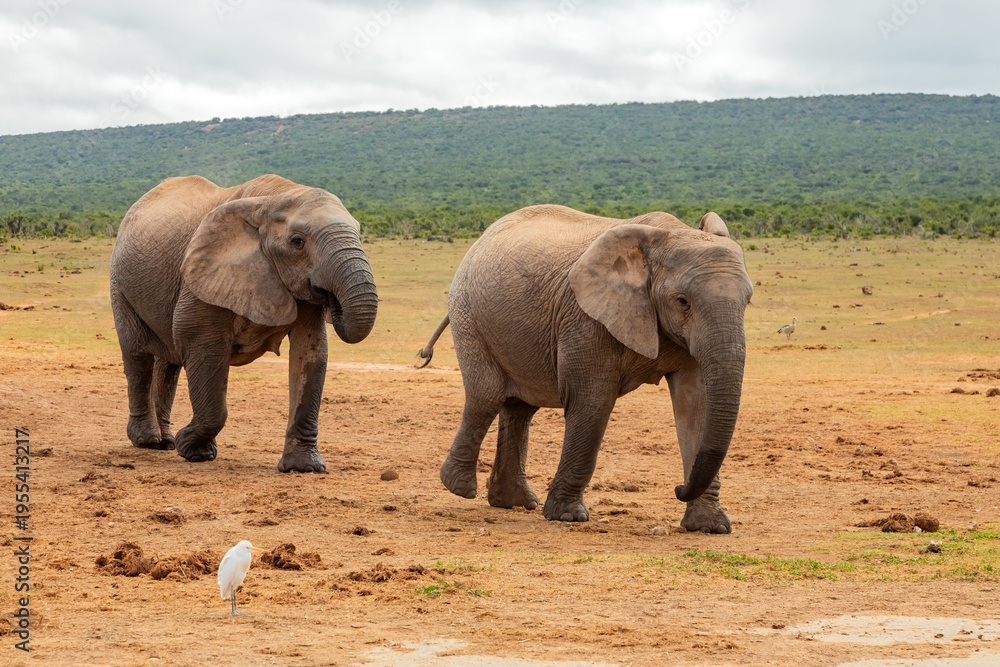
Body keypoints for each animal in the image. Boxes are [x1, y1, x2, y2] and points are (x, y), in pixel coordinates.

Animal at [109, 174, 378, 472]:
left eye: (359, 234)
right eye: (298, 242)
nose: (333, 301)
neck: (273, 198)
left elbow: (311, 352)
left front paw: (303, 468)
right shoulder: (202, 274)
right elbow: (200, 343)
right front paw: (193, 450)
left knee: (169, 364)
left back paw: (165, 442)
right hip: (120, 283)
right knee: (138, 356)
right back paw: (147, 441)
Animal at [418, 205, 752, 532]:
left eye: (747, 301)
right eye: (683, 301)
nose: (678, 489)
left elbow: (695, 405)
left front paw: (711, 526)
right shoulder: (584, 317)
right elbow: (592, 399)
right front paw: (568, 516)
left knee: (520, 408)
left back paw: (512, 502)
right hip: (468, 312)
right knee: (486, 397)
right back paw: (459, 487)